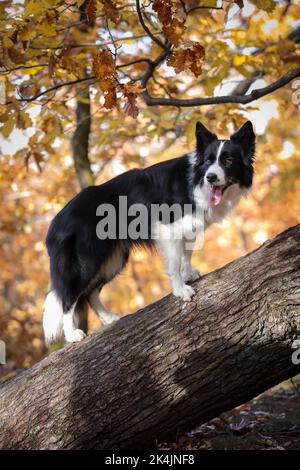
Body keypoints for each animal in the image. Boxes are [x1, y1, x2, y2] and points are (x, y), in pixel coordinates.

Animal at [42, 119, 255, 344]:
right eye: (208, 161)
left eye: (228, 160)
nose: (211, 177)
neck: (196, 182)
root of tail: (56, 221)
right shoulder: (168, 228)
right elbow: (175, 261)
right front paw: (181, 290)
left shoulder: (188, 229)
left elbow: (186, 255)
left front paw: (188, 274)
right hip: (87, 260)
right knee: (69, 297)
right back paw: (72, 334)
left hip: (113, 259)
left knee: (90, 292)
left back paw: (108, 317)